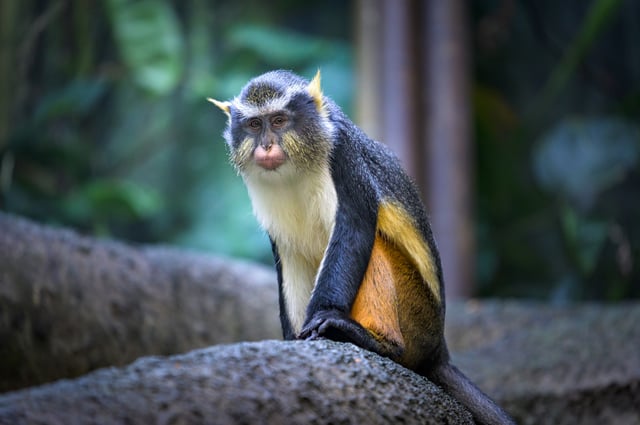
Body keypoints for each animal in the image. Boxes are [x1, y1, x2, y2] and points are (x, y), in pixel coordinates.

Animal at [209, 70, 515, 425]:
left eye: (280, 120)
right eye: (255, 125)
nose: (266, 145)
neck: (298, 166)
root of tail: (439, 349)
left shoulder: (344, 156)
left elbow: (354, 228)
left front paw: (325, 317)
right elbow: (290, 256)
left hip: (418, 317)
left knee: (378, 247)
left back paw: (376, 342)